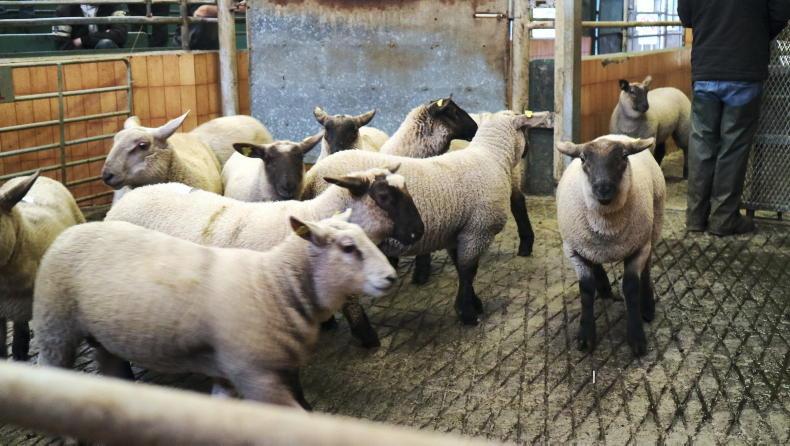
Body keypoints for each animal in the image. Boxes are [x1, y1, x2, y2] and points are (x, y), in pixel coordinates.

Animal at [33, 213, 397, 409]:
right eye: (348, 248)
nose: (391, 276)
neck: (273, 285)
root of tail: (70, 230)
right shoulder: (256, 375)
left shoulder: (229, 372)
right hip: (55, 328)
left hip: (103, 339)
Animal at [303, 111, 552, 325]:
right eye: (524, 130)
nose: (528, 150)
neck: (492, 157)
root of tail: (313, 175)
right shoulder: (478, 230)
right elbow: (468, 271)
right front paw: (467, 313)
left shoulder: (458, 231)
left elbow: (462, 269)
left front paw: (473, 303)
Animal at [555, 134, 665, 357]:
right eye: (583, 158)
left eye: (623, 156)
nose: (603, 189)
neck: (606, 227)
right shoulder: (574, 250)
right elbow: (586, 289)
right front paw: (586, 335)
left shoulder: (638, 247)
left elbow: (631, 287)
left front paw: (637, 337)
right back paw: (604, 288)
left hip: (653, 227)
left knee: (647, 268)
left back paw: (647, 306)